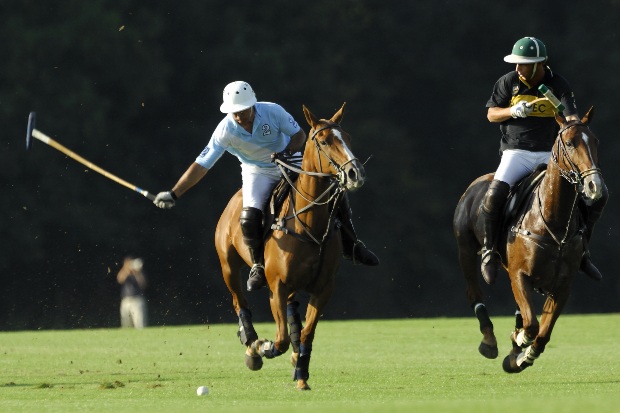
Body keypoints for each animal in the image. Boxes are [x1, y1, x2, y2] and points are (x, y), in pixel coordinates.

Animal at [216, 103, 366, 390]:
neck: (310, 224)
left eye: (348, 138)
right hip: (228, 266)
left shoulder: (323, 288)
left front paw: (302, 375)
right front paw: (263, 347)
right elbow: (281, 338)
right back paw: (251, 344)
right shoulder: (277, 284)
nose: (355, 174)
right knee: (240, 302)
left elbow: (307, 333)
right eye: (324, 141)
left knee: (292, 312)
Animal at [452, 108, 604, 372]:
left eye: (594, 141)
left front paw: (520, 357)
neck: (554, 225)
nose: (594, 186)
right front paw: (520, 341)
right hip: (466, 250)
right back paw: (489, 340)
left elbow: (542, 334)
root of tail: (476, 183)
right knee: (474, 292)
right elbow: (532, 326)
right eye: (569, 143)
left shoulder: (562, 286)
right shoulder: (519, 274)